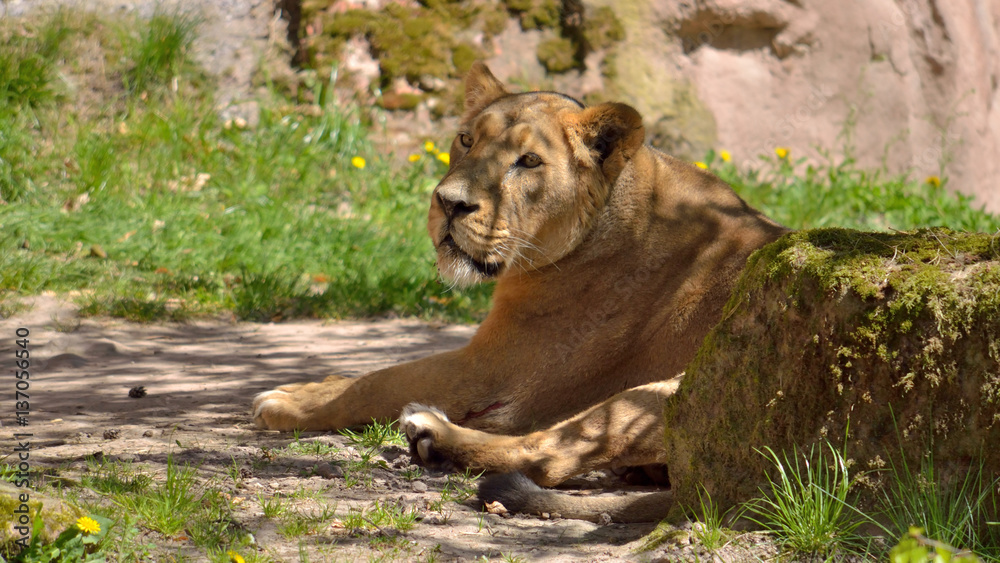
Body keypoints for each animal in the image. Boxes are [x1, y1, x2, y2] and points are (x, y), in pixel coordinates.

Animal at [253, 62, 788, 521]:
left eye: (528, 161)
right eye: (465, 140)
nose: (449, 203)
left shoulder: (491, 370)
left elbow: (381, 380)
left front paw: (287, 402)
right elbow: (368, 373)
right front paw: (313, 384)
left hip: (659, 392)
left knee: (546, 457)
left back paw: (431, 434)